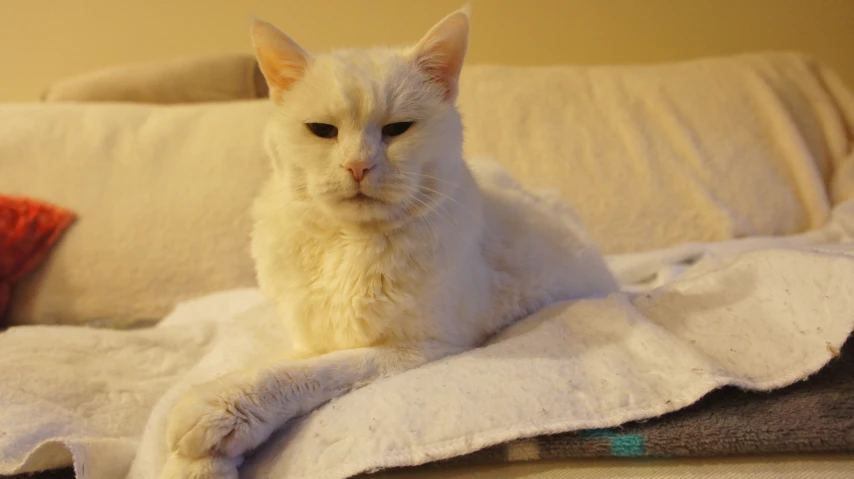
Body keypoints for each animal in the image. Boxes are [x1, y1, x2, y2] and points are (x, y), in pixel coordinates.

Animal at [159, 5, 616, 478]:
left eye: (397, 129)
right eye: (322, 130)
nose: (358, 166)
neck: (349, 245)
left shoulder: (423, 347)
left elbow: (312, 372)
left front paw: (218, 410)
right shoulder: (310, 337)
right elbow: (284, 362)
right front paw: (193, 460)